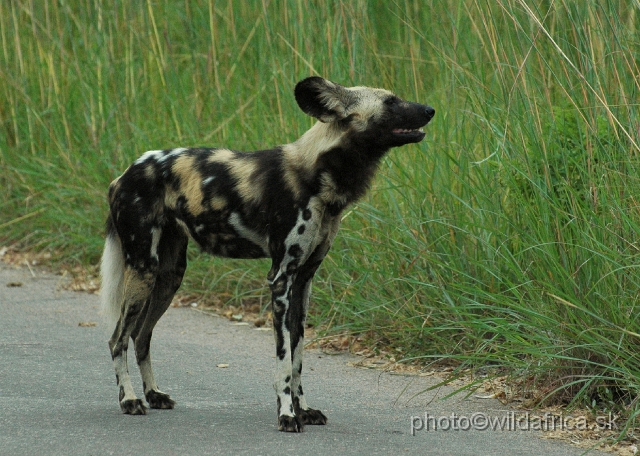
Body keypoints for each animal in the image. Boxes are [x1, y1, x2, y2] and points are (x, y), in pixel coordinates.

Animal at [100, 76, 436, 432]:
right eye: (390, 102)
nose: (430, 110)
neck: (318, 175)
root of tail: (125, 173)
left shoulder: (302, 283)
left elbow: (298, 360)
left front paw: (304, 409)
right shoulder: (281, 281)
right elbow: (284, 362)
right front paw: (287, 415)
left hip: (169, 277)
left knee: (141, 336)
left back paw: (153, 395)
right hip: (143, 269)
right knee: (118, 338)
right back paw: (130, 400)